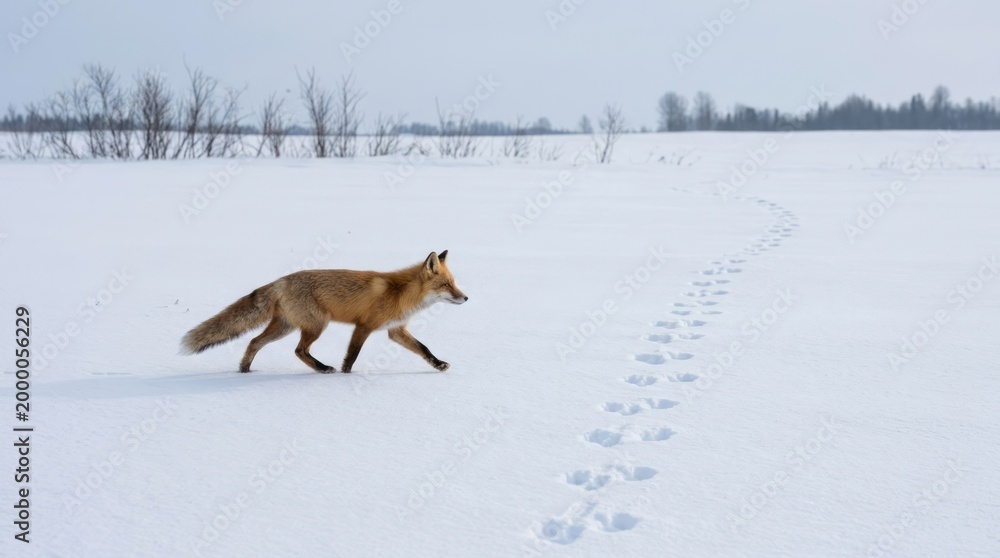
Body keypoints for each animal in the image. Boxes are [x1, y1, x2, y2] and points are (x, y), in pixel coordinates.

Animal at [181, 250, 468, 374]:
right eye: (446, 285)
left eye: (454, 283)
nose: (466, 297)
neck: (400, 292)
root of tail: (281, 280)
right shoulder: (364, 326)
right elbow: (352, 356)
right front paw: (345, 374)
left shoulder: (395, 330)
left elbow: (424, 348)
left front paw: (439, 364)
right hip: (317, 325)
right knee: (299, 351)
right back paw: (322, 369)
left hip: (285, 327)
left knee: (253, 342)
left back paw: (244, 370)